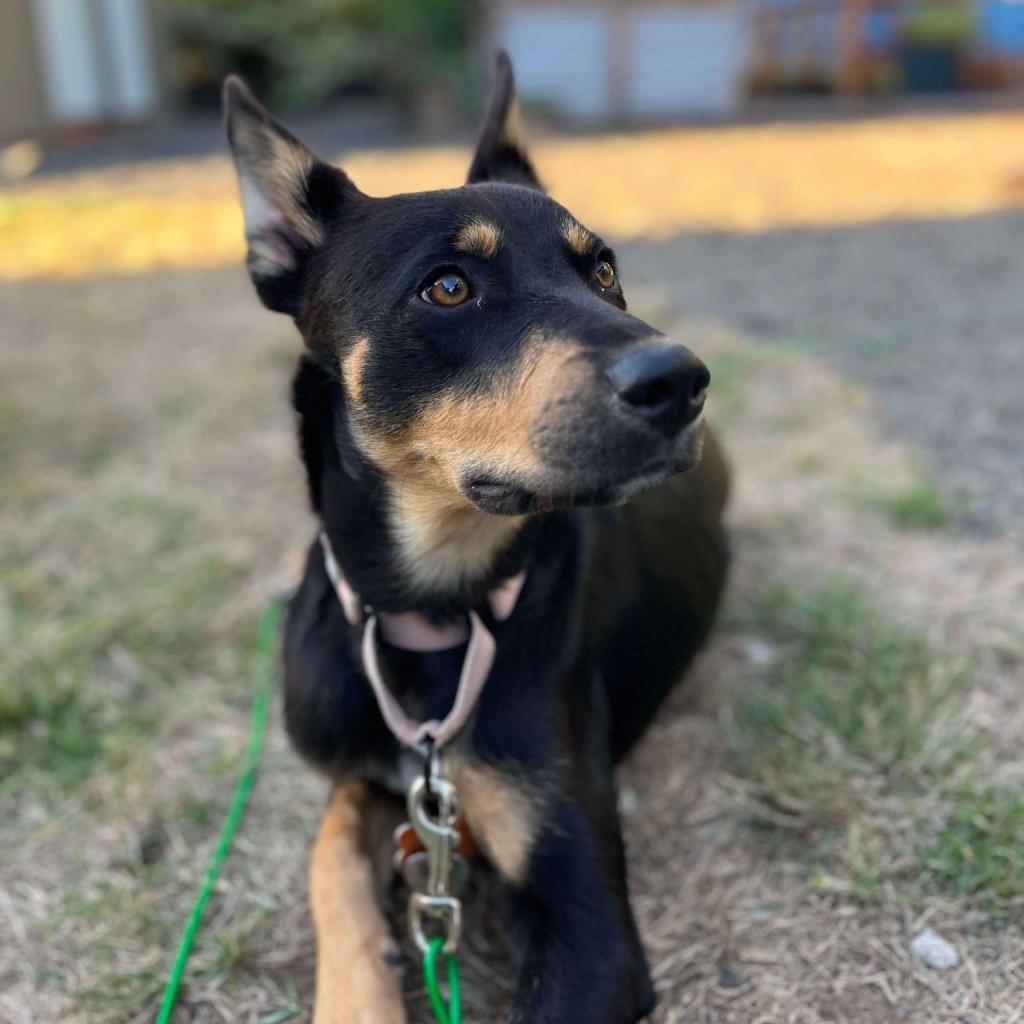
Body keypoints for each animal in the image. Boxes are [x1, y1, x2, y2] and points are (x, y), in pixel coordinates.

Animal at [228, 54, 733, 1024]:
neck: (435, 611)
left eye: (604, 269)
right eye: (449, 286)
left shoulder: (588, 928)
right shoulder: (367, 769)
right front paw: (359, 992)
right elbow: (329, 847)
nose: (683, 382)